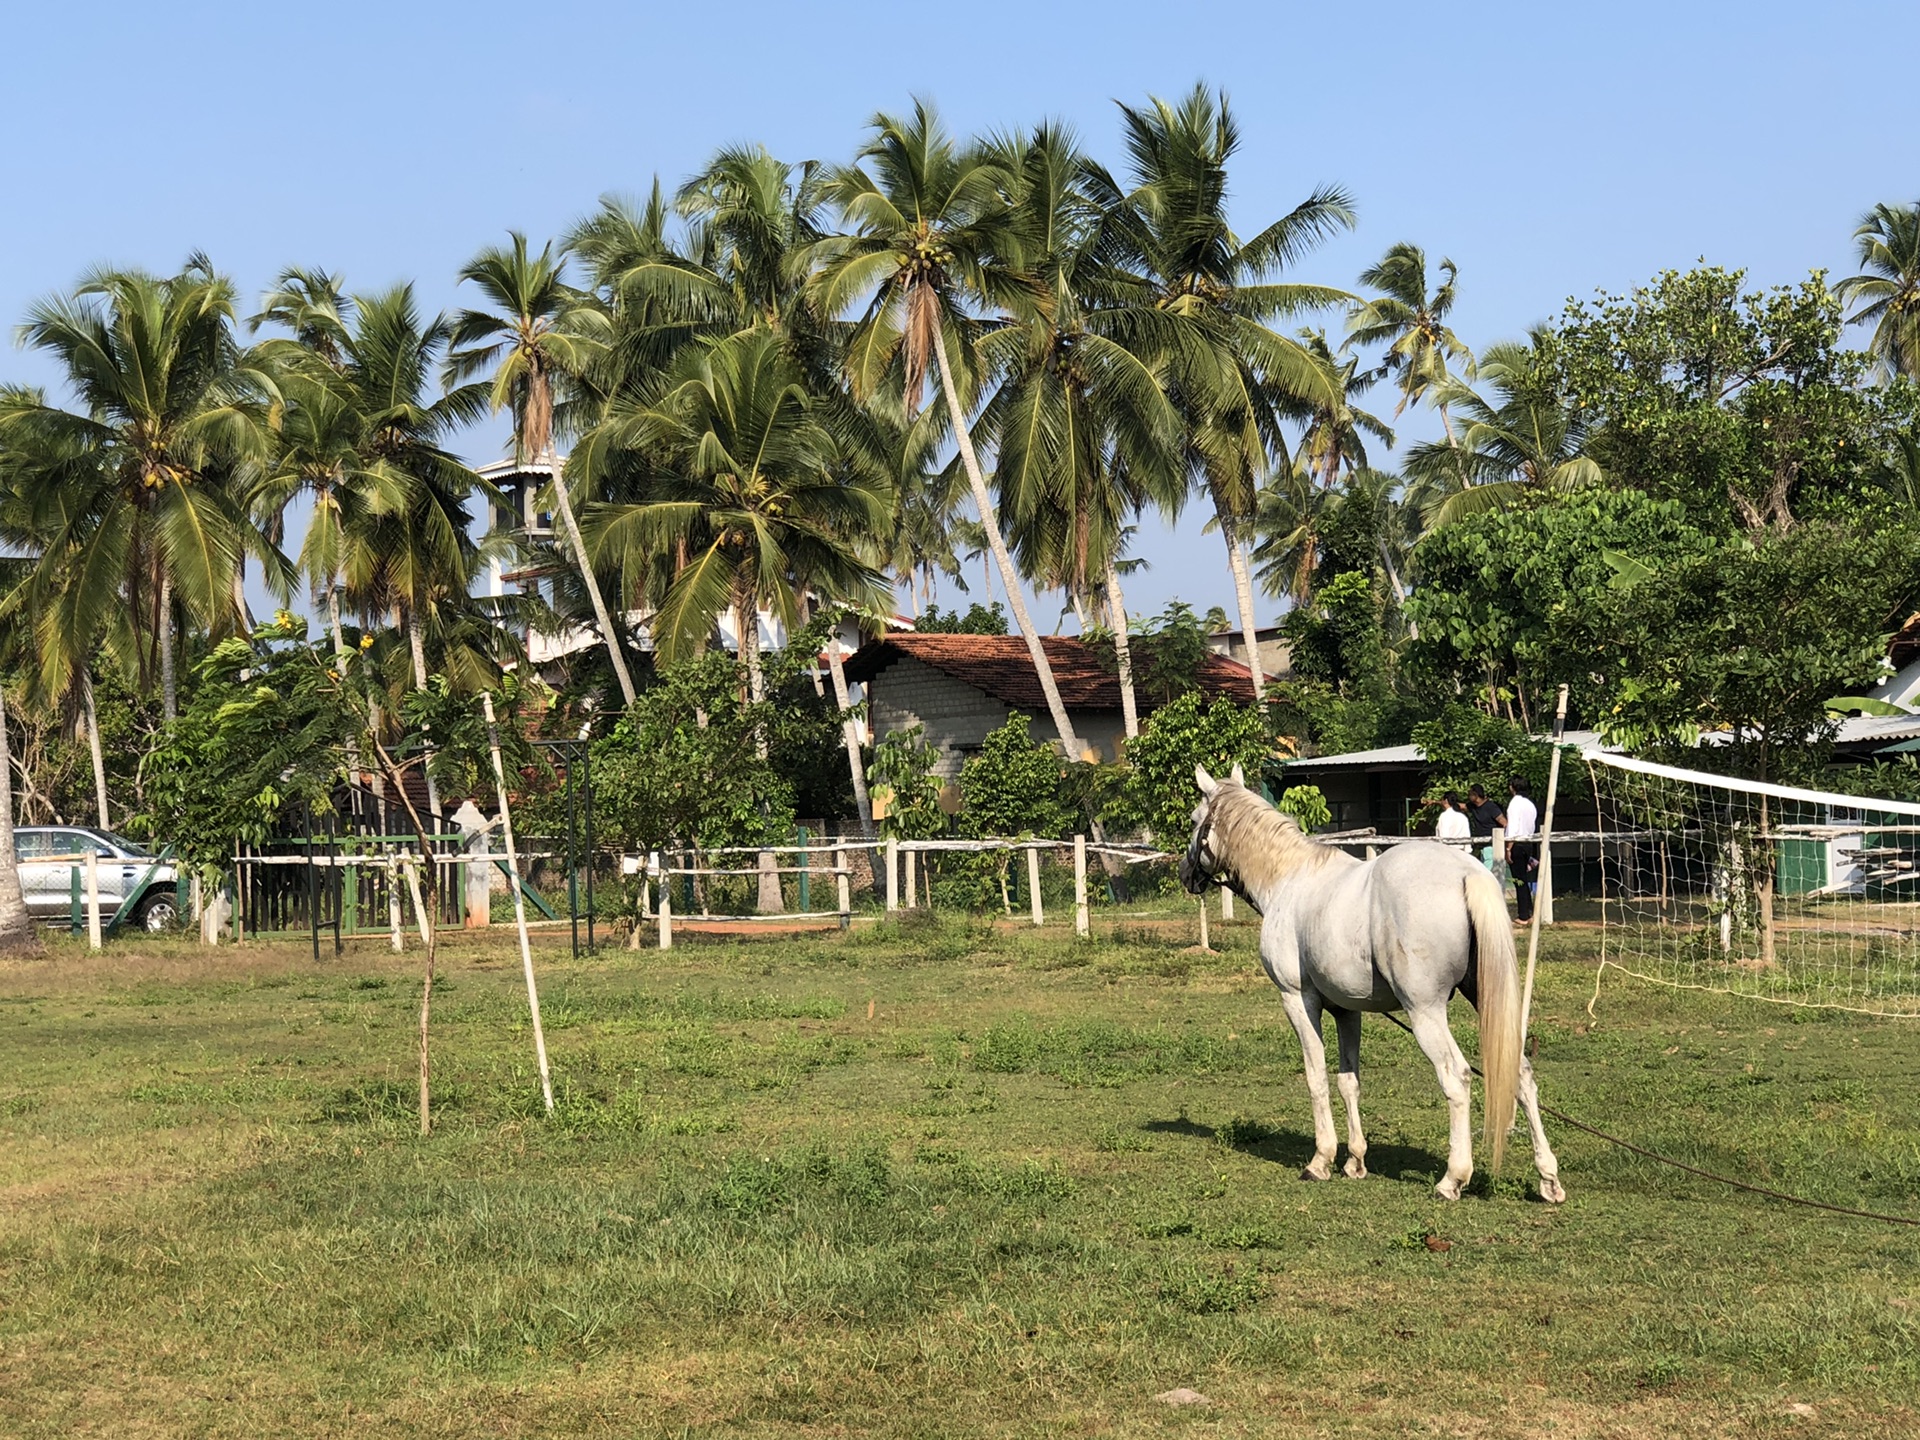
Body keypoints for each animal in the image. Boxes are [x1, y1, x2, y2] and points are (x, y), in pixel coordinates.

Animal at [1175, 768, 1566, 1205]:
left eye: (1195, 819)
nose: (1185, 874)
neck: (1288, 878)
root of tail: (1467, 874)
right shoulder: (1347, 1010)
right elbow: (1349, 1081)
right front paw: (1355, 1160)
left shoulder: (1298, 1000)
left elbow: (1316, 1076)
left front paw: (1321, 1160)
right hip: (1484, 999)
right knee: (1521, 1073)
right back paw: (1548, 1178)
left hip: (1425, 1012)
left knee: (1456, 1076)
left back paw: (1453, 1178)